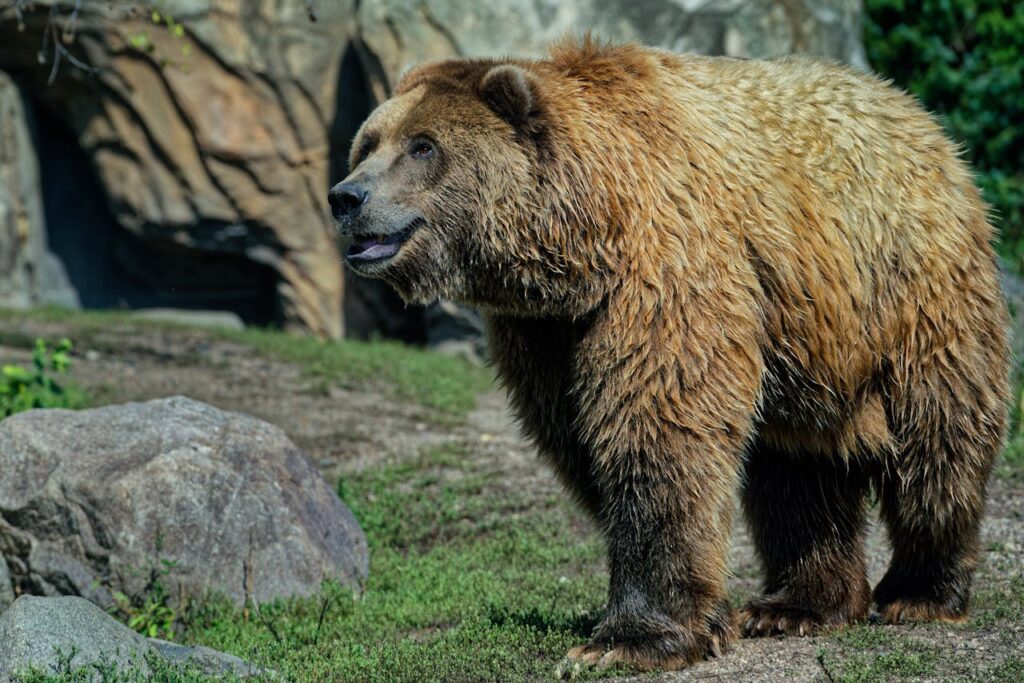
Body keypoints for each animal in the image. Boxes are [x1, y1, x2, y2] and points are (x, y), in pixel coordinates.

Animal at [328, 37, 1010, 671]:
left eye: (422, 146)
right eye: (368, 142)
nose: (346, 198)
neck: (585, 239)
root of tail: (917, 115)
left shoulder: (665, 273)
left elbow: (657, 432)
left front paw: (626, 641)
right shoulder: (546, 332)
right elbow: (583, 439)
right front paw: (701, 618)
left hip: (909, 287)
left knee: (937, 441)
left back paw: (920, 592)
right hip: (806, 348)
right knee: (797, 471)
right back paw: (797, 605)